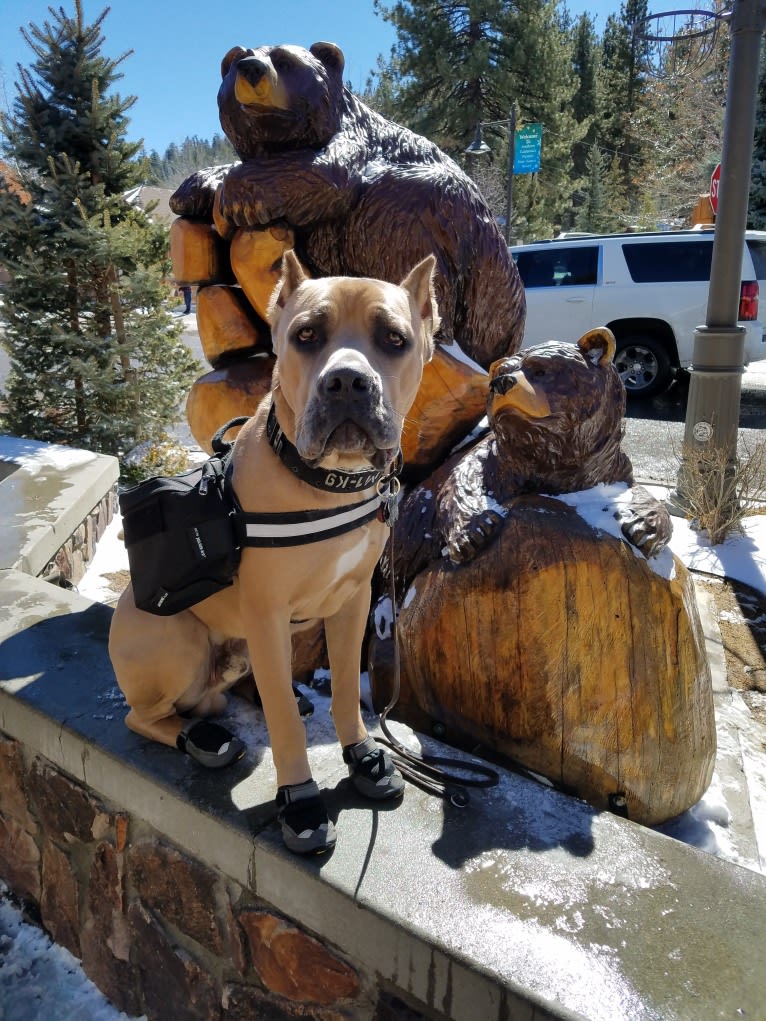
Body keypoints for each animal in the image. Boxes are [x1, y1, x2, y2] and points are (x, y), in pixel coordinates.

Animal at [110, 253, 441, 853]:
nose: (348, 381)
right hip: (177, 640)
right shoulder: (266, 615)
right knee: (142, 717)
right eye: (306, 335)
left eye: (394, 339)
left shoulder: (352, 602)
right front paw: (301, 800)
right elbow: (284, 722)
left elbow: (343, 690)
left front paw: (362, 755)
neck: (328, 482)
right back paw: (201, 739)